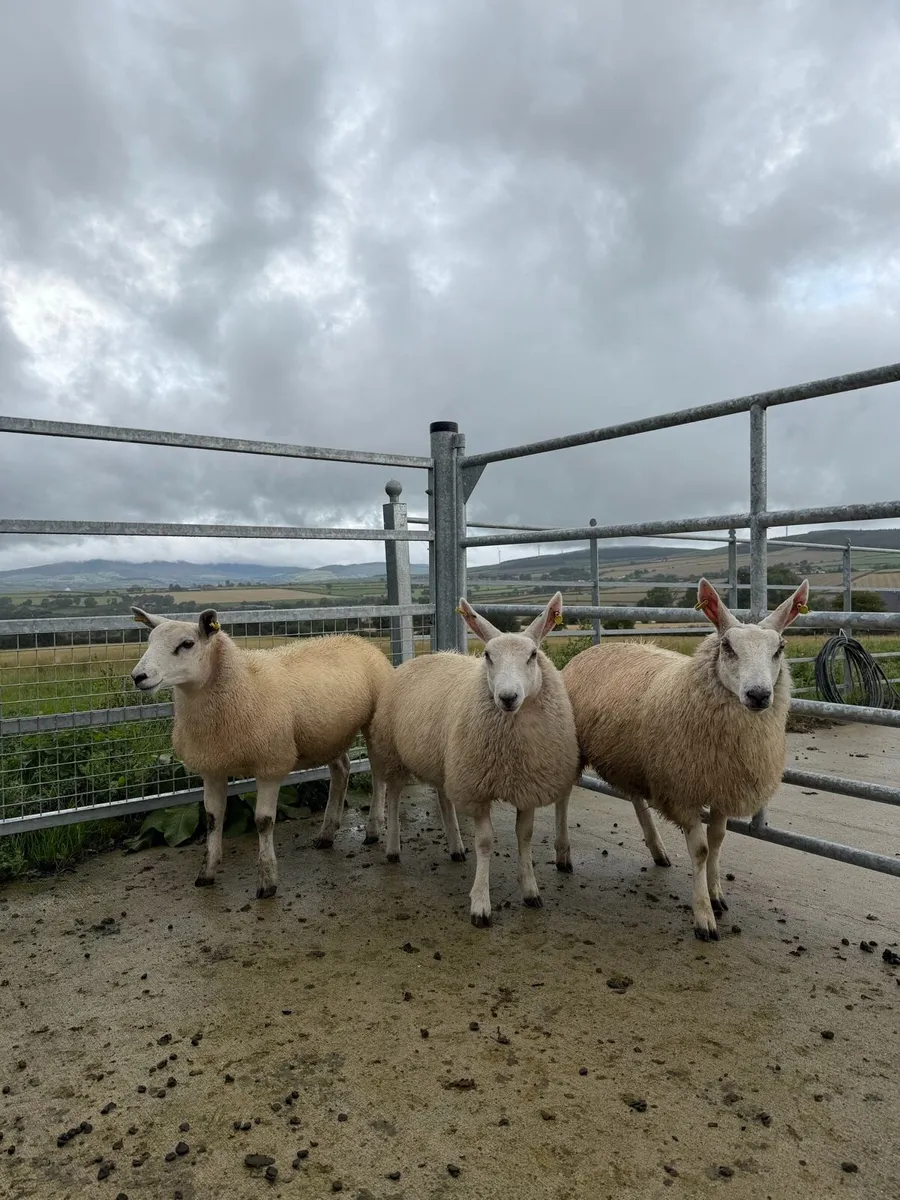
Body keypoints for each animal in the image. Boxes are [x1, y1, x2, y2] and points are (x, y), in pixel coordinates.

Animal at [129, 607, 394, 898]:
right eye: (149, 640)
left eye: (187, 644)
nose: (138, 677)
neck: (243, 682)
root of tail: (358, 640)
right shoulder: (212, 766)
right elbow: (212, 818)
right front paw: (206, 873)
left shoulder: (270, 764)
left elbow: (264, 821)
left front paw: (267, 881)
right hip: (328, 733)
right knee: (342, 770)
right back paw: (327, 832)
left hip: (373, 723)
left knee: (378, 774)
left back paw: (373, 829)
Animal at [367, 592, 580, 926]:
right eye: (488, 656)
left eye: (533, 655)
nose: (507, 697)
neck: (511, 753)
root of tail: (427, 655)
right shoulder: (477, 788)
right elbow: (486, 842)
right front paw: (480, 904)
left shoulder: (527, 786)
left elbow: (525, 836)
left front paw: (531, 890)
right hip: (392, 751)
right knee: (394, 794)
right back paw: (392, 849)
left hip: (446, 760)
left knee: (443, 797)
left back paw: (455, 847)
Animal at [561, 577, 809, 941]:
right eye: (727, 646)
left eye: (779, 648)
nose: (759, 695)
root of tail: (592, 649)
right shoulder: (682, 790)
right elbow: (701, 850)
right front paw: (703, 916)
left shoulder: (721, 786)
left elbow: (717, 842)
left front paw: (716, 894)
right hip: (573, 747)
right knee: (563, 798)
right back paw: (563, 853)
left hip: (634, 756)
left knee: (635, 798)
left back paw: (657, 849)